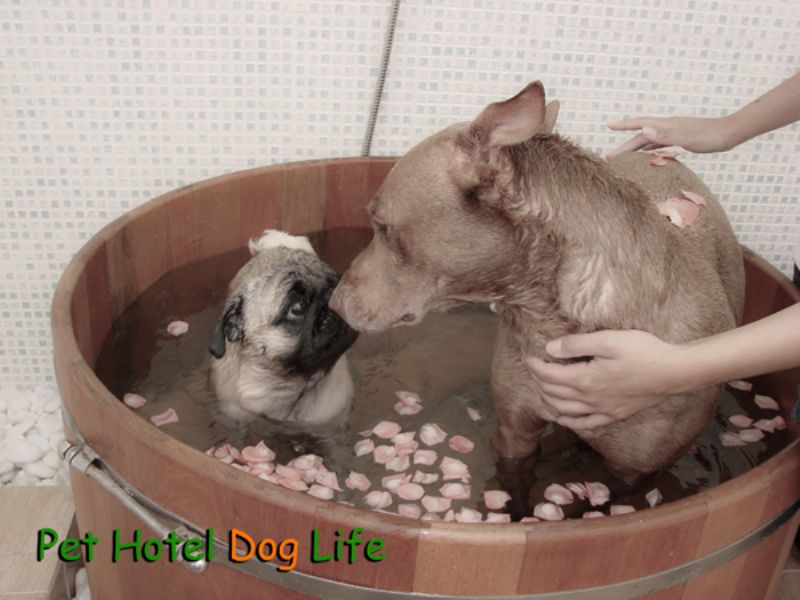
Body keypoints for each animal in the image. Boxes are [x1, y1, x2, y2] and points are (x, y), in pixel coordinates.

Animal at [330, 81, 744, 492]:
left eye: (381, 225)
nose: (334, 302)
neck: (550, 316)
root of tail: (665, 157)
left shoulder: (634, 473)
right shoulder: (515, 430)